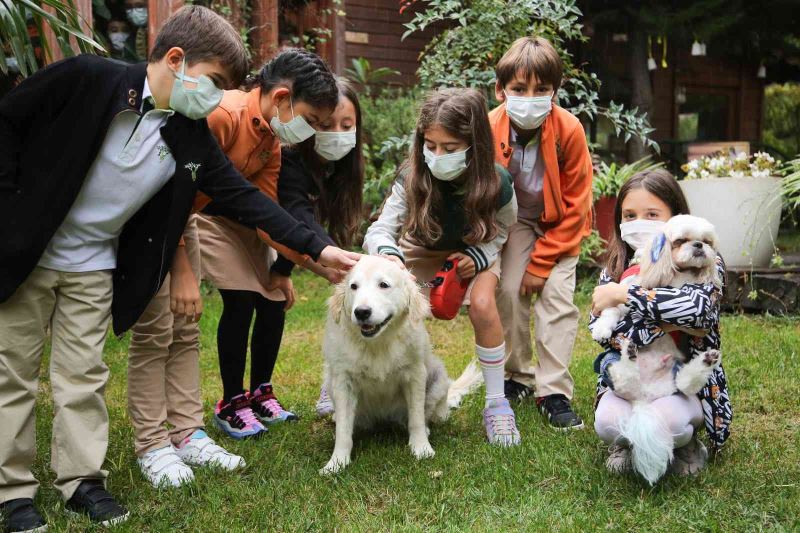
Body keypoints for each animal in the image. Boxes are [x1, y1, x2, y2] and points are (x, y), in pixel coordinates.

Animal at [322, 255, 454, 474]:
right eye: (354, 287)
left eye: (383, 285)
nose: (361, 312)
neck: (378, 343)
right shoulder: (342, 381)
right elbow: (343, 430)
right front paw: (337, 462)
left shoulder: (415, 374)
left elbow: (416, 418)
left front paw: (421, 448)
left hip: (438, 378)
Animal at [604, 214, 720, 484]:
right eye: (681, 240)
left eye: (707, 241)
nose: (699, 245)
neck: (676, 276)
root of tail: (645, 398)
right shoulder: (630, 290)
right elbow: (613, 306)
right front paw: (601, 328)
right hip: (622, 380)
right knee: (623, 375)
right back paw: (629, 352)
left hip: (675, 379)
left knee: (687, 383)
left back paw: (706, 361)